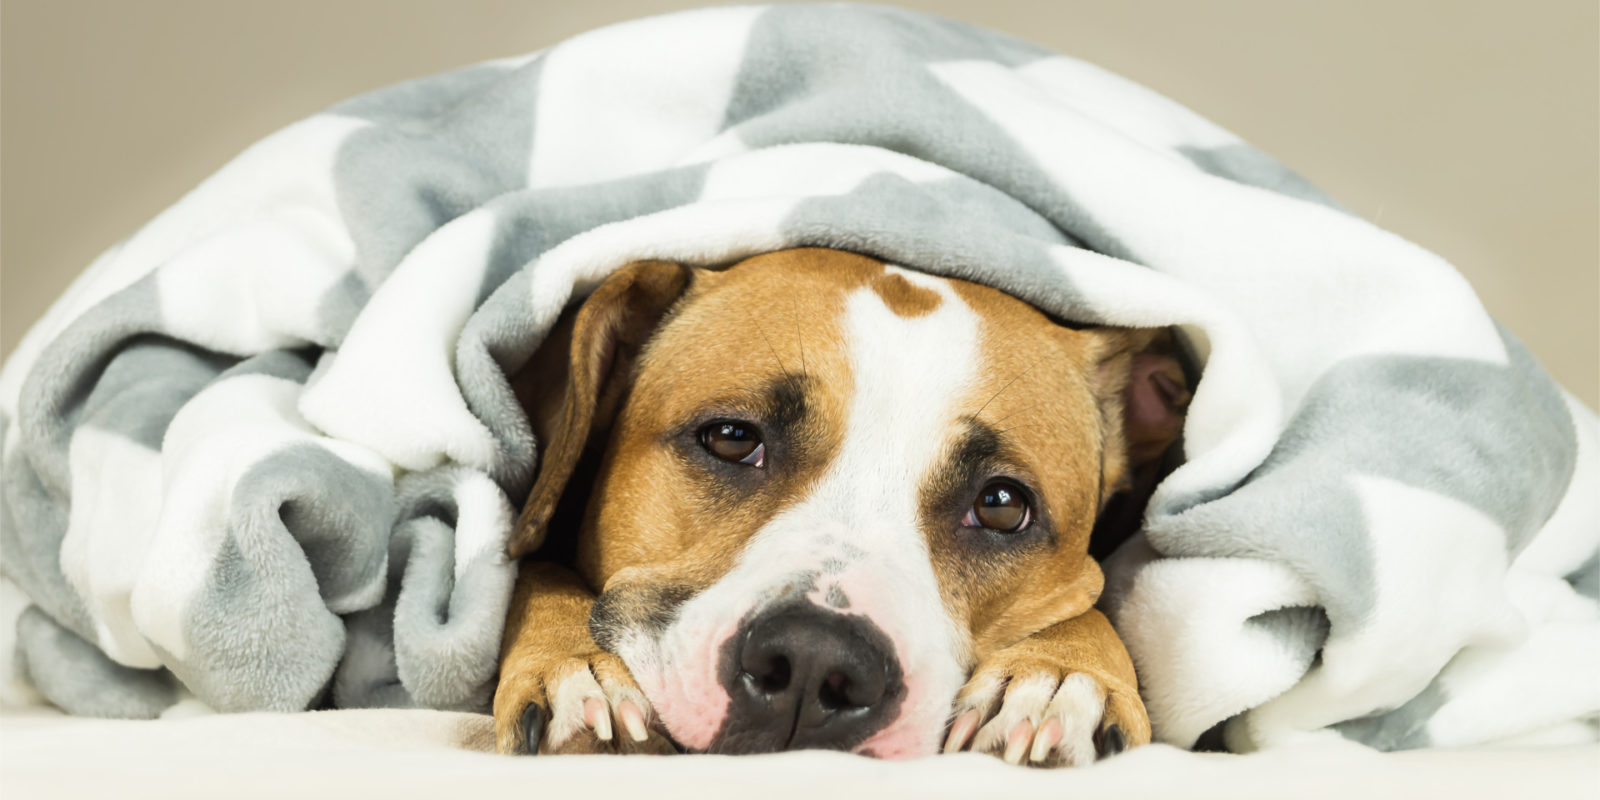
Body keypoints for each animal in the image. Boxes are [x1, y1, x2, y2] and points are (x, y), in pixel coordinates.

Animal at [489, 246, 1190, 764]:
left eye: (1000, 506)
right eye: (732, 437)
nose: (813, 659)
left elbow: (1089, 605)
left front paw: (1061, 675)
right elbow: (535, 571)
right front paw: (577, 668)